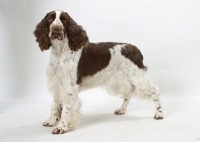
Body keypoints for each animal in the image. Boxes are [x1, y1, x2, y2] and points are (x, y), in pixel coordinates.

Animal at [33, 9, 163, 134]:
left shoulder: (70, 86)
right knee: (128, 93)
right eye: (50, 19)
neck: (60, 51)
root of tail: (135, 49)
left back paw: (159, 113)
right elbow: (55, 104)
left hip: (137, 77)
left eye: (64, 20)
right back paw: (122, 110)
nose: (56, 29)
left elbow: (66, 109)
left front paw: (62, 127)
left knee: (155, 91)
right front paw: (51, 121)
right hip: (126, 78)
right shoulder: (56, 82)